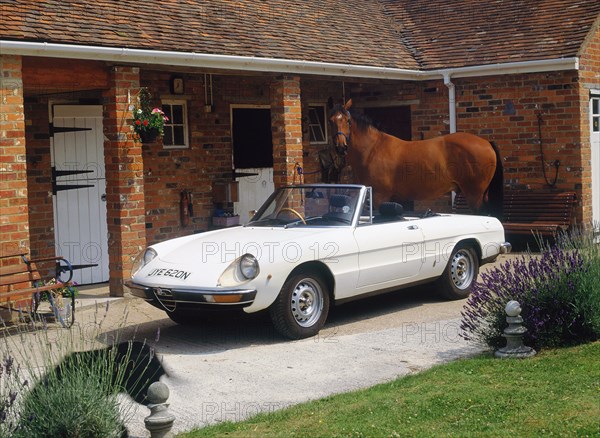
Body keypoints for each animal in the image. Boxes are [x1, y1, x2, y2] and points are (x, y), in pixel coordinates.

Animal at [330, 98, 504, 216]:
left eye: (347, 120)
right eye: (331, 121)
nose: (341, 146)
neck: (372, 149)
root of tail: (486, 142)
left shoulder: (380, 196)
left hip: (474, 194)